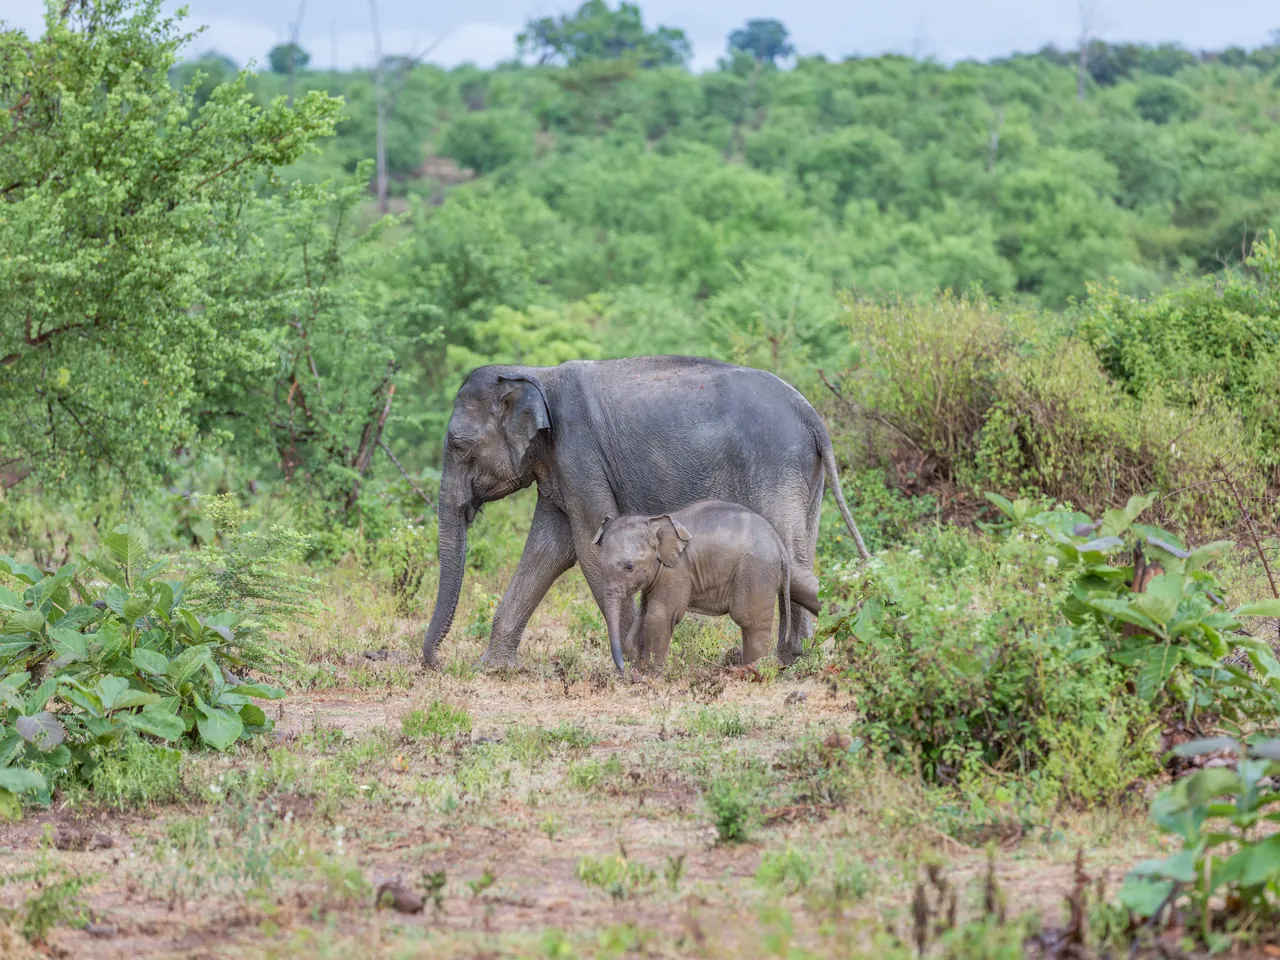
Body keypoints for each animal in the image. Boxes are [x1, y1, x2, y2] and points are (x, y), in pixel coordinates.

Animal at [591, 501, 823, 674]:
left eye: (629, 567)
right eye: (599, 565)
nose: (622, 668)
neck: (653, 520)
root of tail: (778, 541)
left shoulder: (676, 572)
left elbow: (659, 617)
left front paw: (652, 676)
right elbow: (643, 616)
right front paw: (638, 672)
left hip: (756, 570)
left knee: (750, 620)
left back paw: (753, 672)